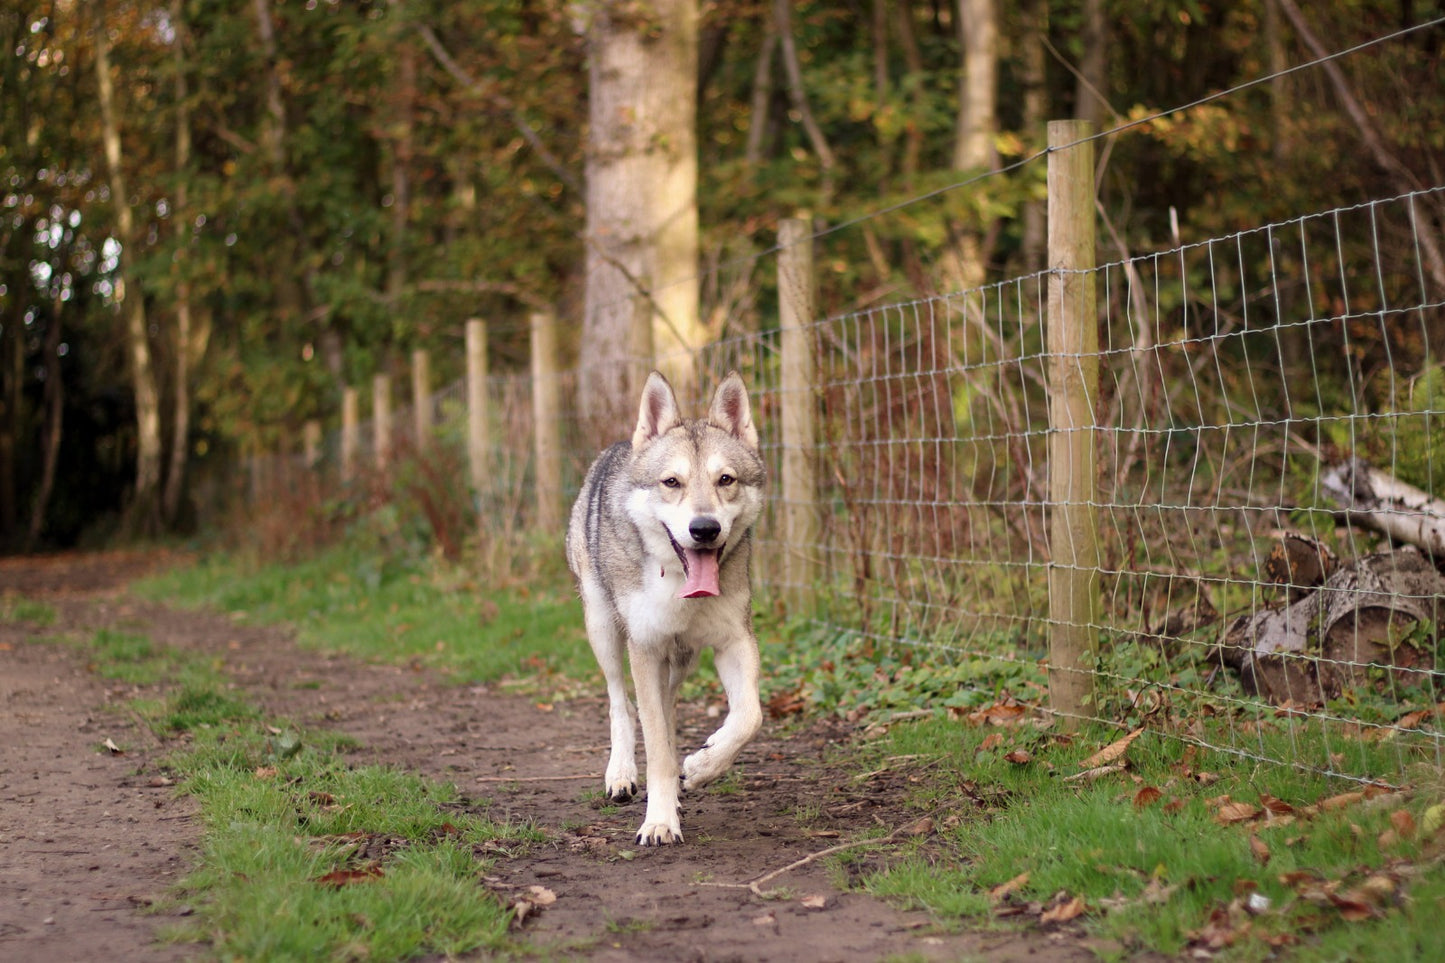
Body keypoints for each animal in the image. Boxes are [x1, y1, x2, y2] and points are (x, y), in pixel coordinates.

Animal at [563, 367, 768, 838]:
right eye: (672, 482)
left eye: (726, 480)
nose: (704, 528)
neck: (679, 589)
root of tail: (620, 446)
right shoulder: (645, 648)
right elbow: (654, 745)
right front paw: (658, 822)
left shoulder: (734, 642)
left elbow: (749, 716)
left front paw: (702, 766)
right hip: (604, 631)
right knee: (622, 704)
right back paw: (621, 775)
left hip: (683, 659)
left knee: (669, 709)